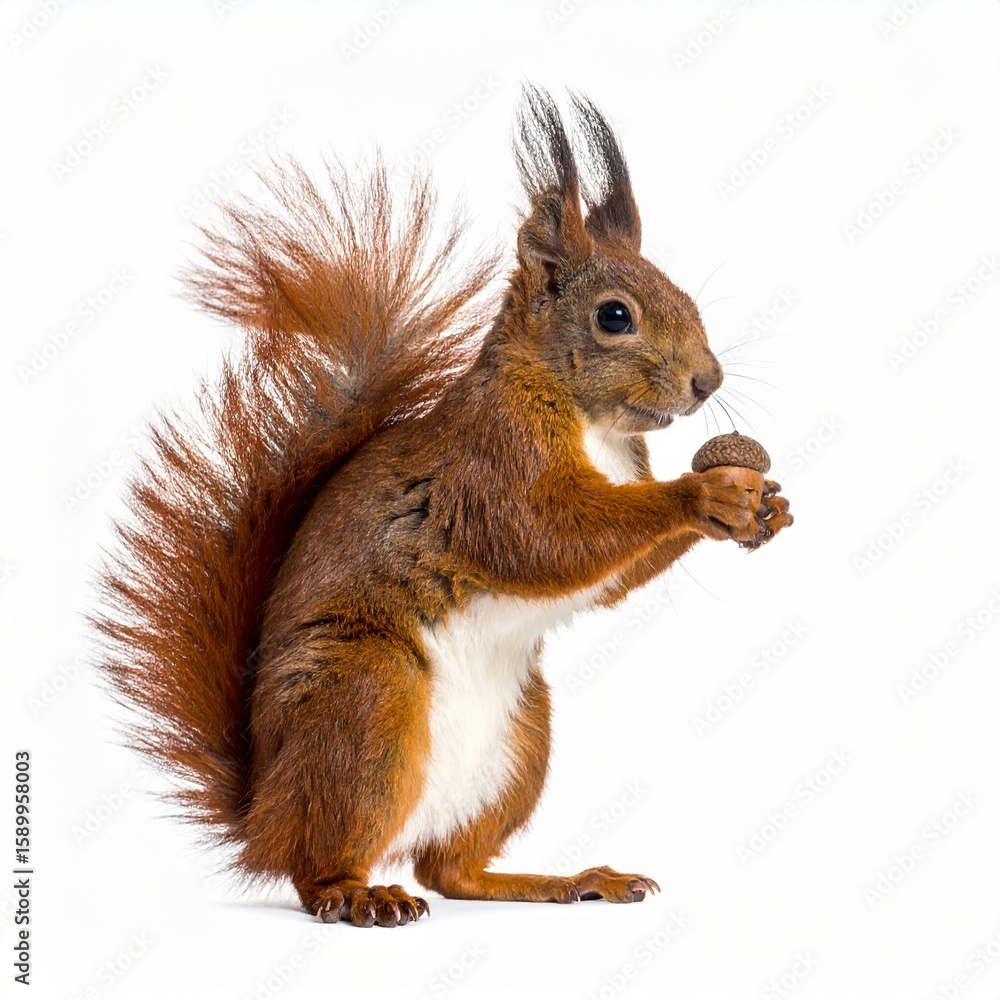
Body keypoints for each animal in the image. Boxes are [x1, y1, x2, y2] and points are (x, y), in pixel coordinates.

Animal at [95, 87, 792, 928]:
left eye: (686, 295)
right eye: (615, 317)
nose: (708, 381)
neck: (588, 419)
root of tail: (261, 809)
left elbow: (607, 577)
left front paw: (767, 506)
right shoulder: (489, 465)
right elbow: (547, 539)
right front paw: (701, 493)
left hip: (521, 738)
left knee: (452, 869)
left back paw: (564, 879)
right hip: (367, 700)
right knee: (314, 866)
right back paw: (357, 893)